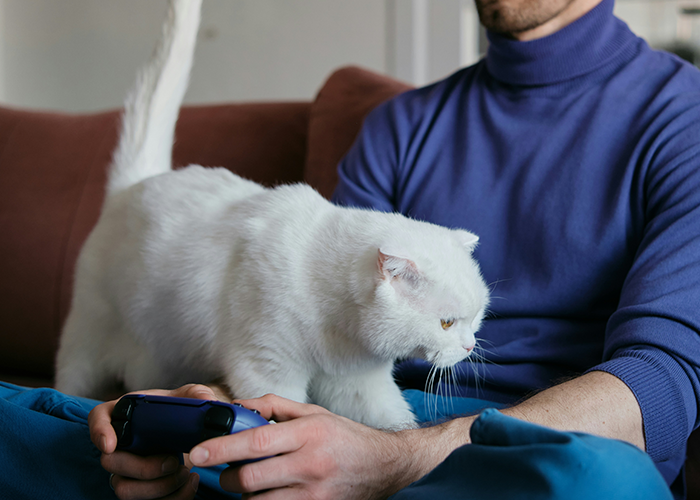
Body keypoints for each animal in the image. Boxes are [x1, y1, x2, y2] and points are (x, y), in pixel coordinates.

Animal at [54, 0, 486, 430]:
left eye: (477, 315)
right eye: (447, 323)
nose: (469, 347)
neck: (338, 330)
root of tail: (133, 185)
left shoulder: (358, 383)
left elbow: (389, 420)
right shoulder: (266, 366)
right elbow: (277, 408)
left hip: (160, 358)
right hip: (87, 340)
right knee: (70, 378)